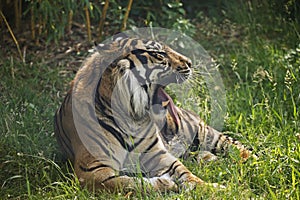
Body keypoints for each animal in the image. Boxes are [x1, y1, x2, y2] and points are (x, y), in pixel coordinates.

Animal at [54, 36, 255, 193]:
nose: (190, 63)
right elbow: (126, 184)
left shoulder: (157, 155)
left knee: (235, 147)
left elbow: (185, 173)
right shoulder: (92, 170)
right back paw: (208, 159)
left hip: (203, 132)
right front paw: (165, 184)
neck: (130, 118)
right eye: (159, 55)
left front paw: (212, 188)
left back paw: (257, 162)